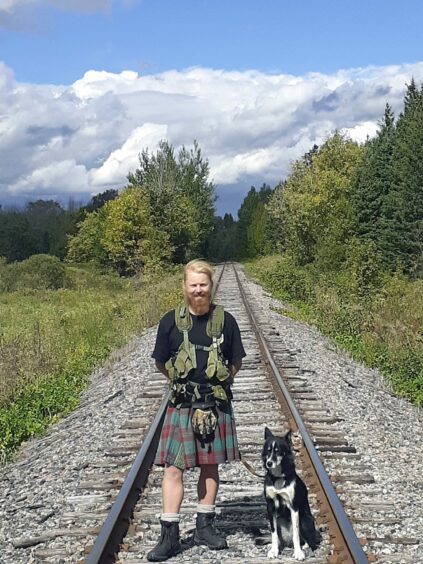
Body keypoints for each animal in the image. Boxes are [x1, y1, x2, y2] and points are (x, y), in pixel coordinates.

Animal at [262, 428, 322, 560]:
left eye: (278, 451)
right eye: (268, 450)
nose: (269, 463)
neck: (278, 477)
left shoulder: (293, 506)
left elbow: (295, 533)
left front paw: (298, 552)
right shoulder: (270, 507)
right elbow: (273, 533)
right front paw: (274, 551)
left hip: (304, 519)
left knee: (310, 541)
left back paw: (304, 547)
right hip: (279, 520)